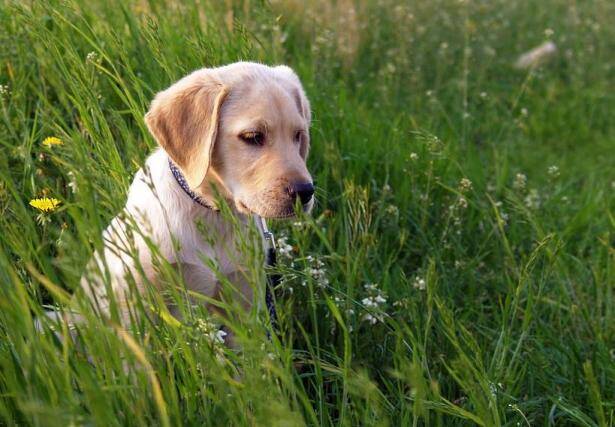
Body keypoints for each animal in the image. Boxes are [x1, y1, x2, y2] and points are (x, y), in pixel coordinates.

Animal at [79, 61, 312, 332]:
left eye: (298, 135)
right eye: (253, 137)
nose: (306, 192)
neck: (213, 213)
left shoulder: (244, 306)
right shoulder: (135, 302)